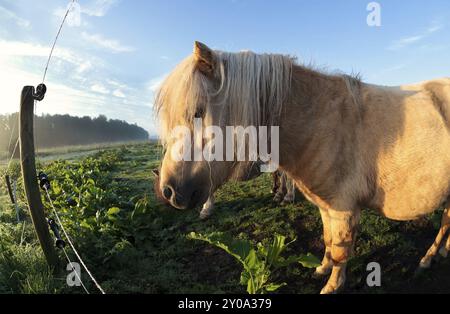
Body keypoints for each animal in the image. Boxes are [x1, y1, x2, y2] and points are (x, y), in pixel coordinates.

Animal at [156, 40, 450, 294]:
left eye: (197, 112)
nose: (168, 190)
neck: (320, 123)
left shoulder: (344, 209)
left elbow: (341, 249)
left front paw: (332, 286)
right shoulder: (327, 206)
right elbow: (329, 239)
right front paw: (322, 268)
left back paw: (427, 259)